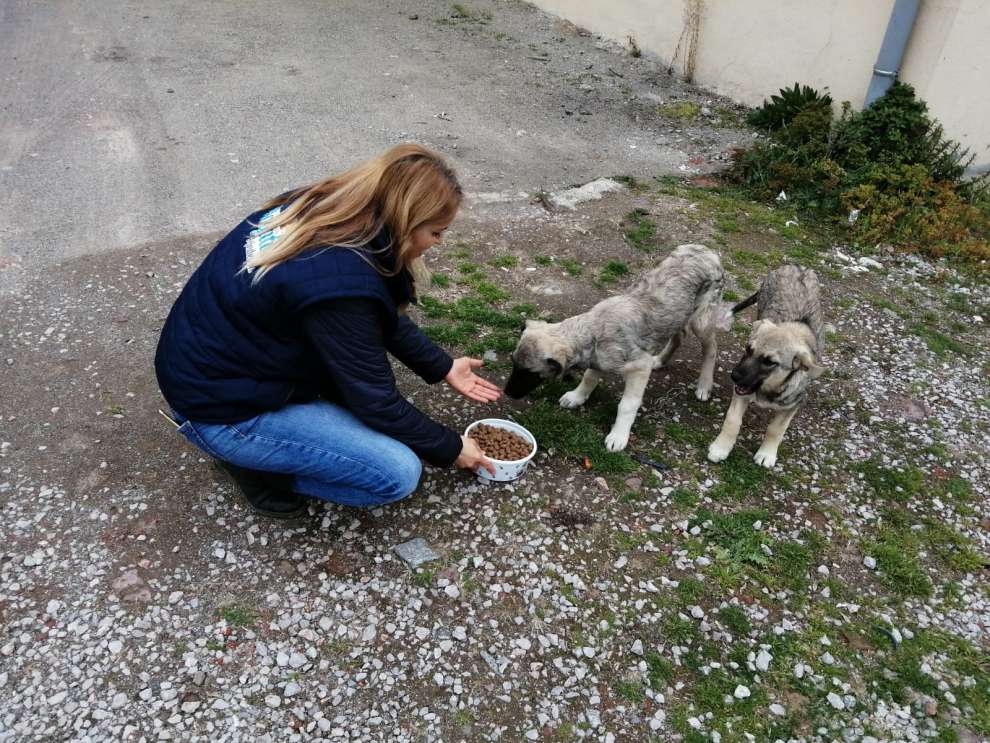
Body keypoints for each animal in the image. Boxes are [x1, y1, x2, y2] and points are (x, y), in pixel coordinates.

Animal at [508, 247, 732, 450]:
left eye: (529, 373)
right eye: (513, 364)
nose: (508, 392)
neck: (594, 331)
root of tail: (710, 252)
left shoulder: (639, 367)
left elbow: (627, 405)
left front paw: (618, 436)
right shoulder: (598, 360)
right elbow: (589, 378)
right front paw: (577, 397)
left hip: (701, 319)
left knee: (711, 348)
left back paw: (704, 385)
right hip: (678, 315)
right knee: (679, 335)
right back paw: (660, 359)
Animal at [704, 264, 828, 468]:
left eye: (769, 362)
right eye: (748, 348)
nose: (734, 376)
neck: (767, 389)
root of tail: (797, 266)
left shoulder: (793, 404)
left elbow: (775, 430)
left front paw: (767, 453)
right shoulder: (741, 392)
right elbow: (732, 421)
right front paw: (720, 448)